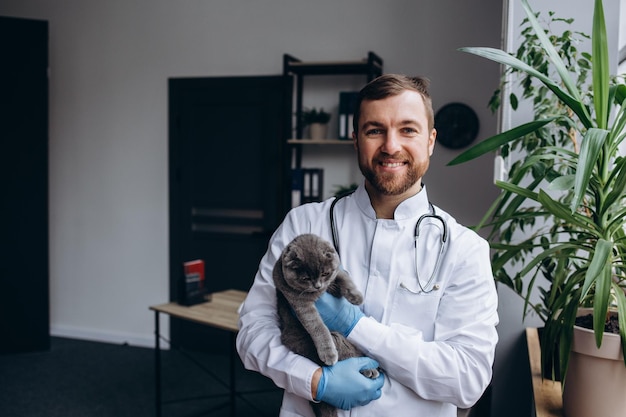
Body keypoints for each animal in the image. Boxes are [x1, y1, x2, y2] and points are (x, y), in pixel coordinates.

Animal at [272, 232, 378, 416]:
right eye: (306, 278)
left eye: (324, 273)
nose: (317, 286)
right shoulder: (299, 302)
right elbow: (318, 327)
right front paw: (328, 353)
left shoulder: (337, 272)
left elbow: (345, 278)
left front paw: (356, 297)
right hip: (330, 340)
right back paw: (369, 370)